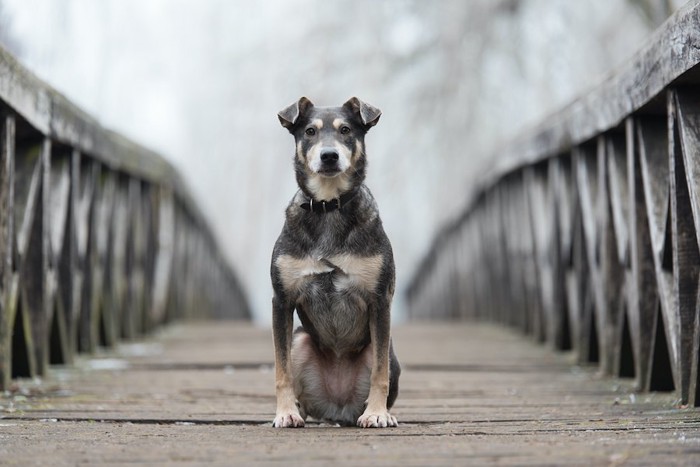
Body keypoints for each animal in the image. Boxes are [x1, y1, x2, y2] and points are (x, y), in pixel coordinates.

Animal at [272, 97, 402, 430]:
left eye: (346, 130)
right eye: (309, 131)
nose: (329, 155)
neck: (328, 205)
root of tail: (338, 409)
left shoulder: (380, 300)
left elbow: (379, 373)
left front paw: (377, 413)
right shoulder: (282, 299)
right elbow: (281, 370)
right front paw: (284, 412)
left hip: (386, 350)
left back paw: (380, 412)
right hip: (301, 340)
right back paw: (299, 410)